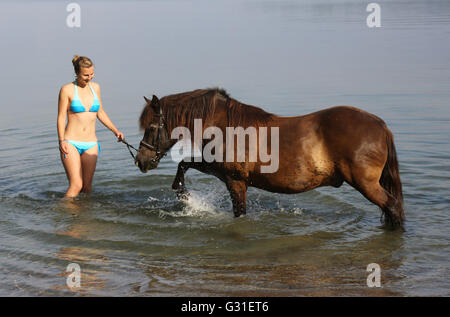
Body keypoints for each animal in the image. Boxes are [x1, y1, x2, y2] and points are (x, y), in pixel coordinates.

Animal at [134, 87, 404, 228]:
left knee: (393, 207)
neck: (225, 126)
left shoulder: (235, 181)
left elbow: (240, 212)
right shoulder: (217, 169)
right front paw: (183, 193)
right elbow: (184, 164)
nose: (141, 160)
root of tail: (380, 126)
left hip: (365, 184)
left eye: (151, 127)